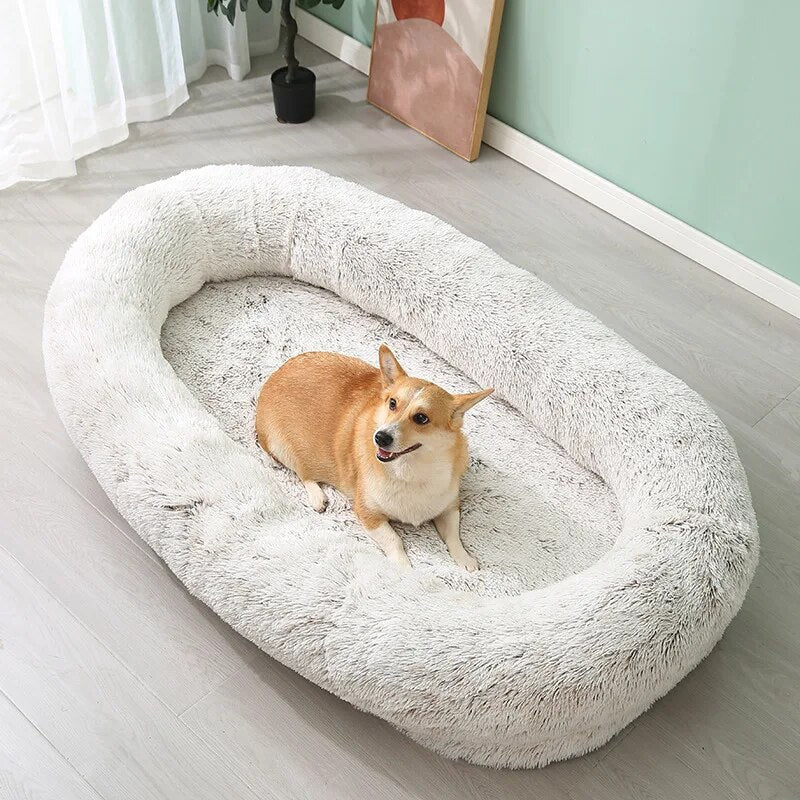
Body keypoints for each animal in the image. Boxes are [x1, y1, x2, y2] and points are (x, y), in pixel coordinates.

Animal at [256, 344, 494, 568]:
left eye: (421, 418)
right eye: (392, 403)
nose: (380, 437)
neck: (410, 470)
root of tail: (277, 372)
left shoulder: (449, 507)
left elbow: (454, 537)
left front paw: (465, 560)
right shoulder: (369, 514)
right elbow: (394, 540)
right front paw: (404, 568)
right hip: (281, 448)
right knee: (303, 472)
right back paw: (317, 496)